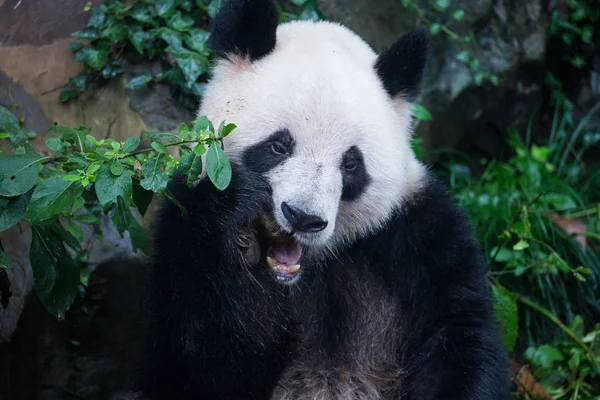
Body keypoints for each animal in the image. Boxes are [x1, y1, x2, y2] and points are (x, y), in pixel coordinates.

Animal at [134, 0, 512, 400]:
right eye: (278, 146)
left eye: (351, 163)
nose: (302, 217)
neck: (315, 265)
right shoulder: (182, 220)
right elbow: (198, 360)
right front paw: (238, 227)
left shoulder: (420, 235)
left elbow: (459, 335)